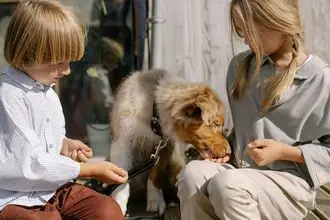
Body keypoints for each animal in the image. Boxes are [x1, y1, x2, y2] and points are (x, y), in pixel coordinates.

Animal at [107, 69, 229, 215]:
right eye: (216, 124)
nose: (229, 151)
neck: (153, 115)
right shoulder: (122, 144)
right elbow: (121, 179)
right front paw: (118, 205)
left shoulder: (164, 147)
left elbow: (154, 175)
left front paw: (155, 201)